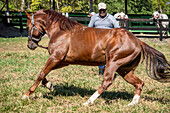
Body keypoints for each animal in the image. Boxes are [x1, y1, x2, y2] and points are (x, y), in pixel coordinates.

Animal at [22, 9, 170, 105]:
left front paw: (26, 95)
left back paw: (89, 101)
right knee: (139, 83)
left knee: (107, 81)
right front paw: (49, 85)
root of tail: (138, 41)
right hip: (125, 70)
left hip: (113, 62)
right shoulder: (63, 61)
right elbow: (44, 74)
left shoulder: (55, 57)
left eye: (28, 26)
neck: (61, 31)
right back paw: (132, 104)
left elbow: (41, 73)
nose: (30, 45)